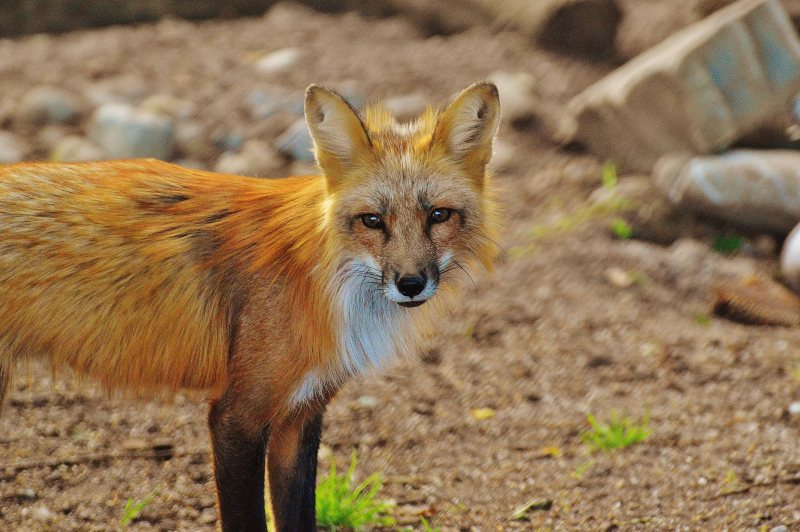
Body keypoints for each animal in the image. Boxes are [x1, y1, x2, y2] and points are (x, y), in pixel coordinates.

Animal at [0, 81, 500, 528]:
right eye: (372, 221)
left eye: (438, 215)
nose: (411, 284)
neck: (318, 281)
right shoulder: (236, 417)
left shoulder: (300, 415)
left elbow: (298, 519)